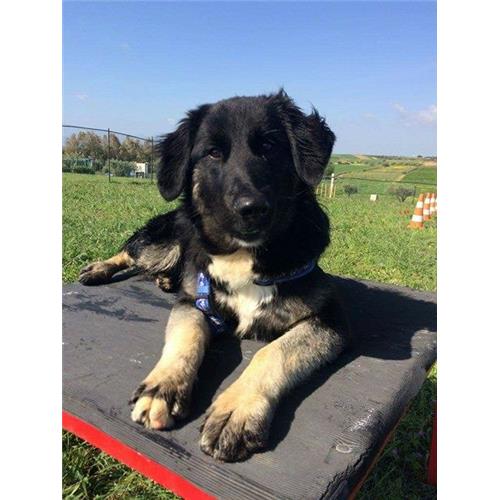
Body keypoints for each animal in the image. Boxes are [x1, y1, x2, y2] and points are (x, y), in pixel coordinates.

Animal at [79, 90, 351, 462]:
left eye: (269, 146)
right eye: (212, 153)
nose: (251, 209)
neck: (243, 257)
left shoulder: (328, 319)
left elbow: (272, 352)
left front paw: (235, 410)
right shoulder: (196, 302)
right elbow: (187, 338)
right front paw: (162, 386)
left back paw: (164, 280)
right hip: (166, 242)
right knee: (134, 250)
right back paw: (100, 268)